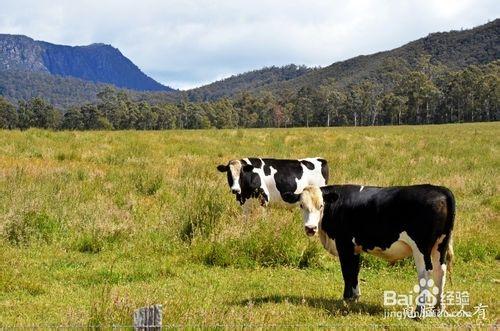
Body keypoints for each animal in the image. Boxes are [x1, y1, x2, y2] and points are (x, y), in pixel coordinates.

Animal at [284, 185, 456, 316]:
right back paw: (437, 308)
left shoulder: (344, 245)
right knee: (440, 271)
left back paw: (419, 311)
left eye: (321, 206)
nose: (310, 228)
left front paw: (346, 298)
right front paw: (355, 297)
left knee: (426, 273)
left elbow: (347, 272)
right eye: (302, 205)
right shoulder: (354, 248)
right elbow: (355, 272)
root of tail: (440, 190)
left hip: (421, 247)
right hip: (441, 244)